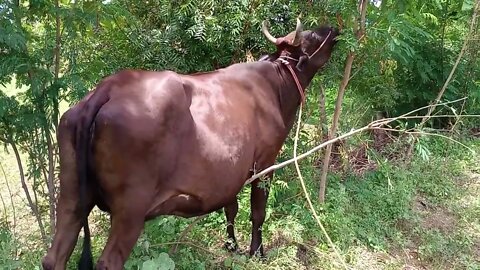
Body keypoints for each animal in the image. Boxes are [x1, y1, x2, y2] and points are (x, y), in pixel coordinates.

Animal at [43, 19, 340, 270]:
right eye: (313, 35)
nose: (333, 28)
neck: (274, 86)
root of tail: (109, 87)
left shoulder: (230, 171)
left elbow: (231, 207)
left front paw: (231, 246)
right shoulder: (265, 162)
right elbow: (258, 211)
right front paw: (257, 252)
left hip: (71, 195)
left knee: (54, 256)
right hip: (130, 208)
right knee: (108, 262)